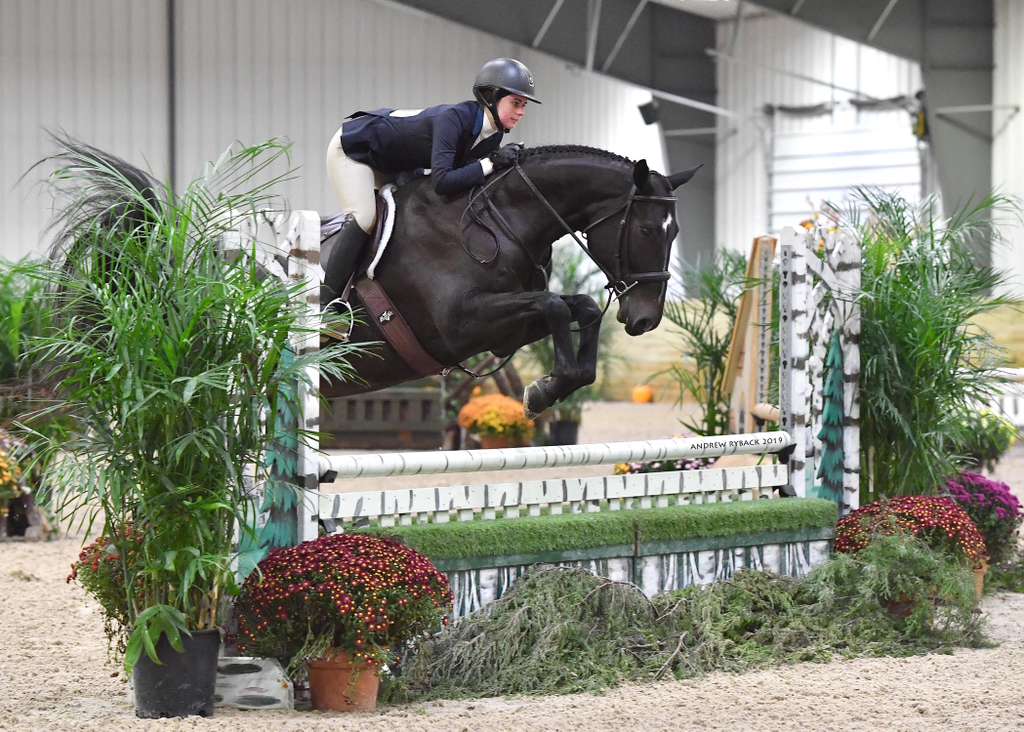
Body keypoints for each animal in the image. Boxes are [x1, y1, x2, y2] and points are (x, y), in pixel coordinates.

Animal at [323, 144, 699, 417]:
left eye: (675, 232)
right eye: (646, 230)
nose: (647, 319)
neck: (493, 225)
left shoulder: (503, 335)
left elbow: (583, 307)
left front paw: (550, 389)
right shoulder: (460, 325)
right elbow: (555, 306)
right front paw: (542, 392)